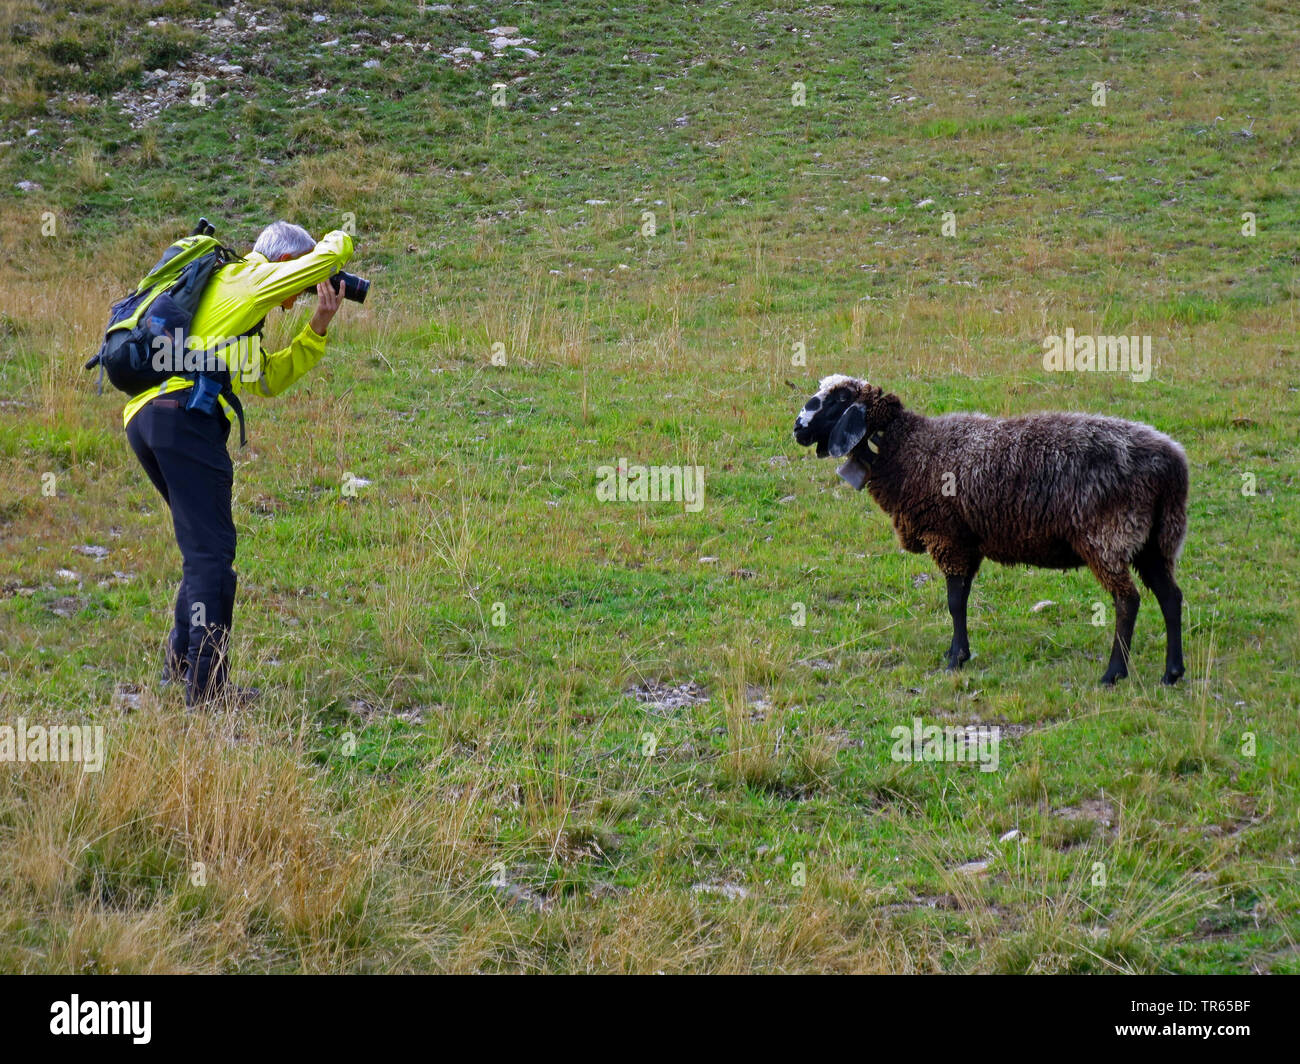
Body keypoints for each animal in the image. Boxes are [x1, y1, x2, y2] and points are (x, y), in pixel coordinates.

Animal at [790, 377, 1190, 681]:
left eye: (840, 399)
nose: (797, 428)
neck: (903, 448)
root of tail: (1171, 464)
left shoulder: (947, 537)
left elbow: (954, 602)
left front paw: (955, 659)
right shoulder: (967, 542)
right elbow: (962, 598)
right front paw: (959, 653)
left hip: (1108, 536)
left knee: (1128, 601)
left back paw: (1113, 673)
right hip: (1155, 539)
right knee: (1171, 597)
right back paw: (1172, 672)